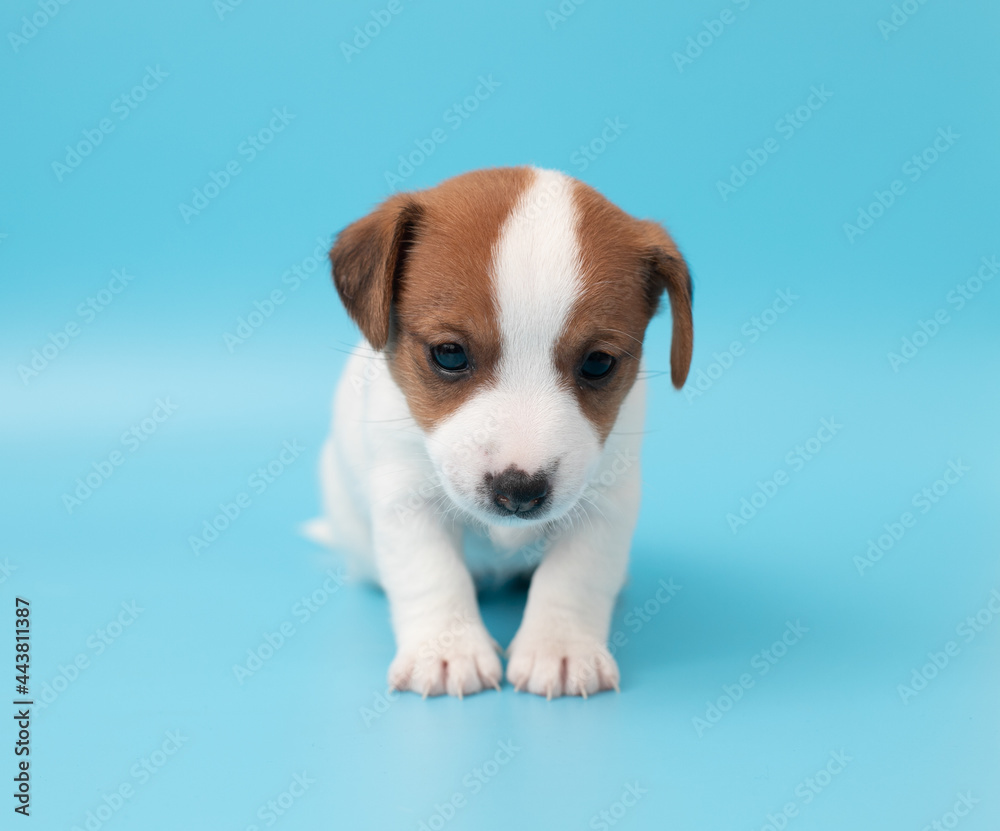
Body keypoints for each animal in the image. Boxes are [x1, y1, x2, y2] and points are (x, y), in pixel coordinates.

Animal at [308, 166, 692, 700]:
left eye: (598, 363)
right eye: (449, 354)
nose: (520, 492)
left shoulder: (603, 505)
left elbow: (575, 578)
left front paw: (560, 648)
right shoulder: (407, 500)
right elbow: (431, 575)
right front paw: (446, 650)